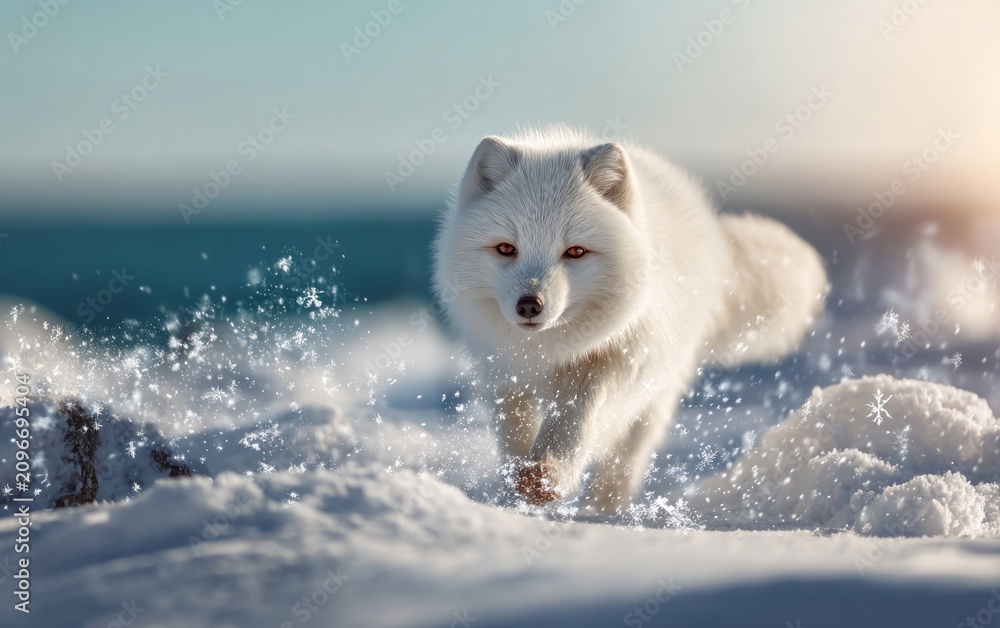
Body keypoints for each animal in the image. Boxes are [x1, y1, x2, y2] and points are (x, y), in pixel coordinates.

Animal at [433, 126, 827, 513]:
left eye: (575, 251)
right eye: (506, 248)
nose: (529, 305)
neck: (549, 350)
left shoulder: (618, 361)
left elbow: (575, 419)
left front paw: (546, 475)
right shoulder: (500, 372)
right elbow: (514, 431)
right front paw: (515, 488)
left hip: (658, 392)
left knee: (625, 460)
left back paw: (604, 511)